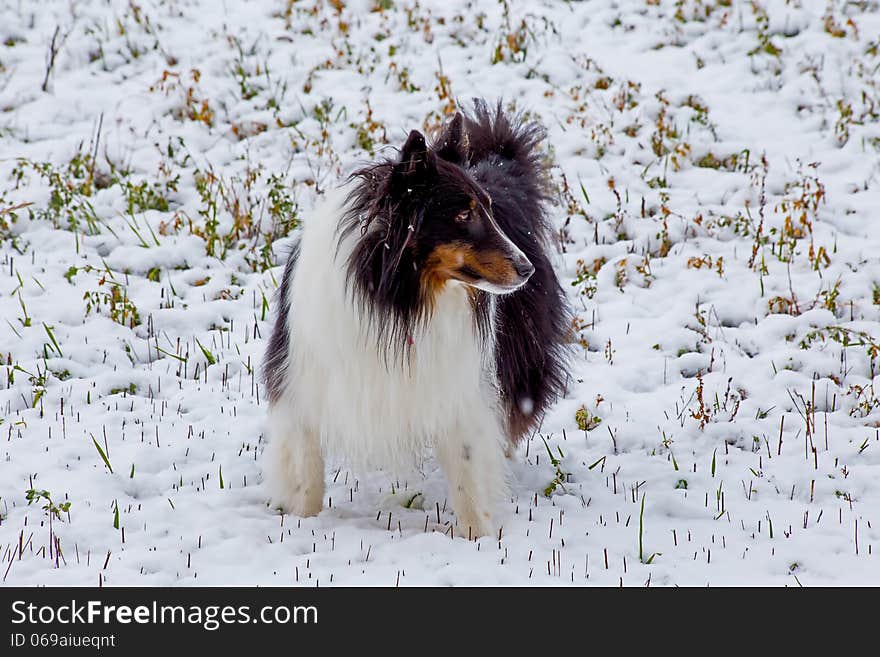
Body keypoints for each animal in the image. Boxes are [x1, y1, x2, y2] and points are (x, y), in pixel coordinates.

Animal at [262, 100, 572, 536]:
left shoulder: (459, 388)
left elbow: (470, 476)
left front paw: (479, 539)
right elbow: (306, 476)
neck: (399, 299)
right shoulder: (302, 383)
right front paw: (302, 524)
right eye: (464, 215)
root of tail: (497, 165)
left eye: (487, 211)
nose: (526, 270)